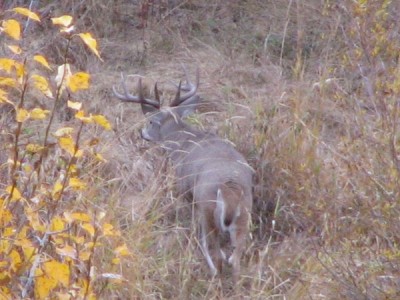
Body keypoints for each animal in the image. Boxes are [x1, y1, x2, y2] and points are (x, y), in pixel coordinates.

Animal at [111, 66, 253, 284]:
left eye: (150, 121)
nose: (142, 133)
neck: (183, 140)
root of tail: (230, 187)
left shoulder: (184, 189)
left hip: (208, 209)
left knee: (215, 252)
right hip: (245, 214)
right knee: (235, 260)